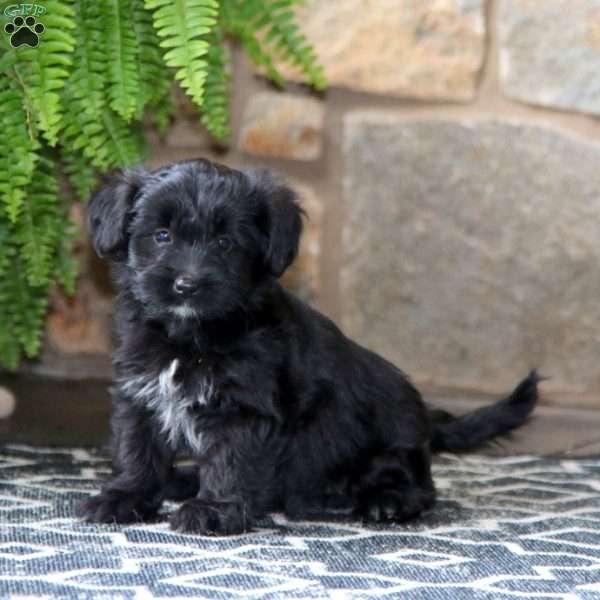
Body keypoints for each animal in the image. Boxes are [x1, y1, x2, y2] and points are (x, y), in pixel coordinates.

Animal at [81, 158, 540, 536]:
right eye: (162, 235)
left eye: (225, 243)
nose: (186, 284)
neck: (191, 336)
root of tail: (427, 419)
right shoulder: (141, 393)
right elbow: (137, 448)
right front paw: (125, 497)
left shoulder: (244, 408)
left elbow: (230, 460)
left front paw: (213, 510)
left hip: (392, 443)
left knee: (418, 486)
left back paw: (386, 502)